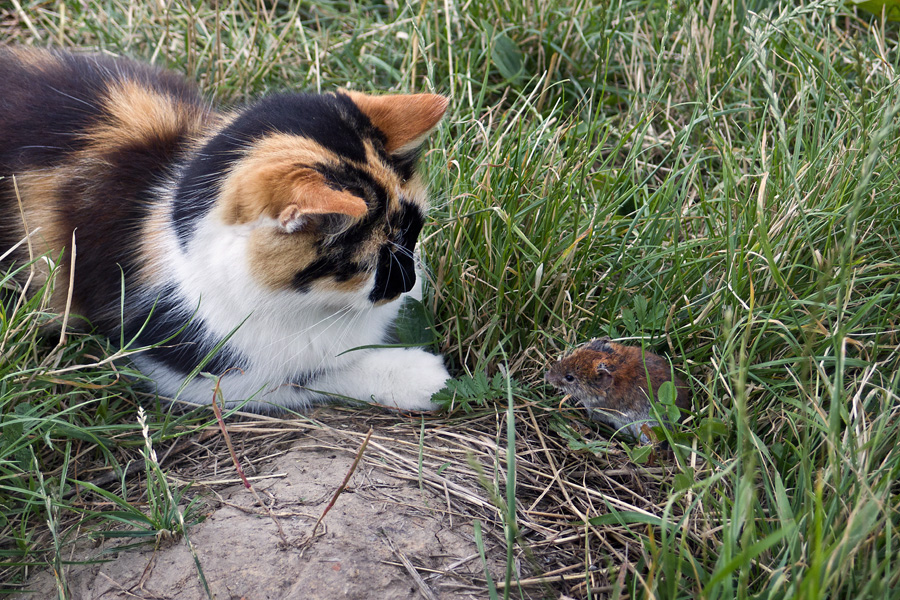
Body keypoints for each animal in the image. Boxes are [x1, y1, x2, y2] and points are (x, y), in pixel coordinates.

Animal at [0, 47, 450, 412]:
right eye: (366, 263)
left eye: (412, 236)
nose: (407, 284)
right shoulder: (195, 370)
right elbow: (303, 378)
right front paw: (419, 377)